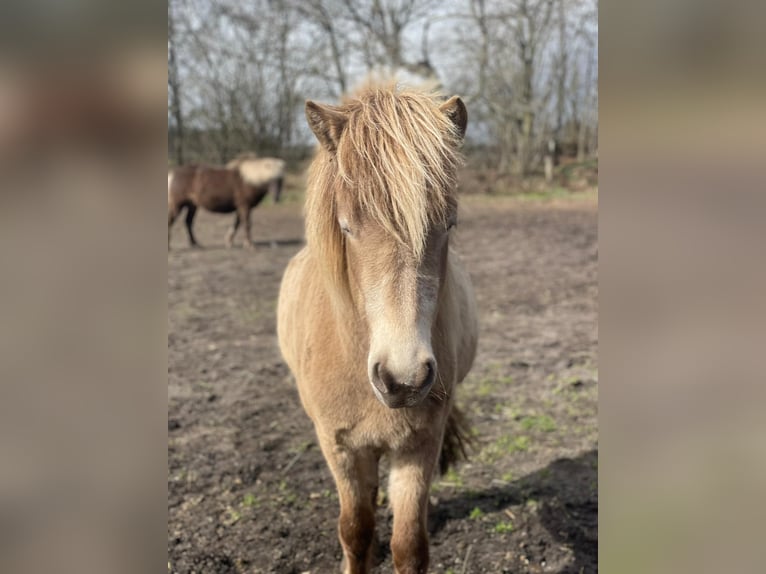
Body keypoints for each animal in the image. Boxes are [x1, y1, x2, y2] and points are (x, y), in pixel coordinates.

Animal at [277, 84, 478, 574]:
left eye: (449, 224)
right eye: (346, 226)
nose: (403, 379)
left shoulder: (418, 446)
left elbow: (409, 544)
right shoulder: (340, 447)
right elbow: (356, 529)